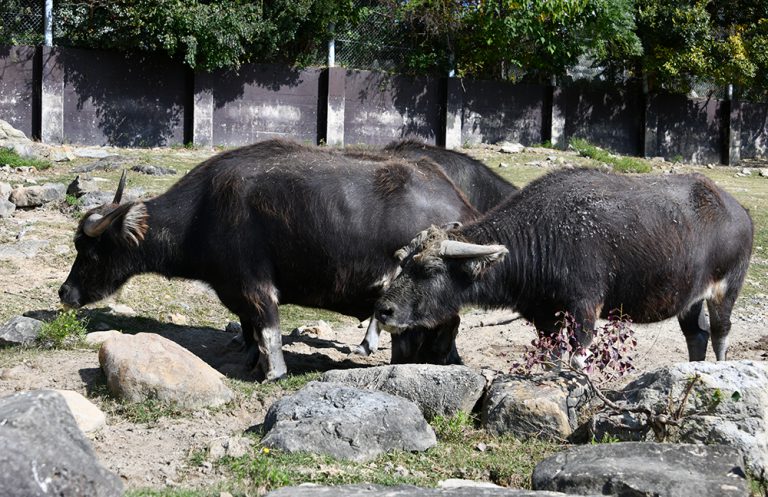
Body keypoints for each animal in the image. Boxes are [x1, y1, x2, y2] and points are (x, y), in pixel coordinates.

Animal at [60, 140, 476, 380]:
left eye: (91, 250)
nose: (65, 292)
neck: (202, 214)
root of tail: (461, 203)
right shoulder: (235, 292)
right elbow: (249, 330)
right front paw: (250, 360)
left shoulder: (253, 285)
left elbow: (267, 328)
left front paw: (271, 372)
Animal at [376, 167, 752, 364]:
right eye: (403, 264)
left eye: (429, 269)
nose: (383, 310)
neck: (541, 236)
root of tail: (739, 211)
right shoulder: (545, 317)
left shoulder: (584, 309)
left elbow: (575, 358)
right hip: (690, 299)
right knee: (697, 334)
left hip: (726, 291)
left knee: (720, 332)